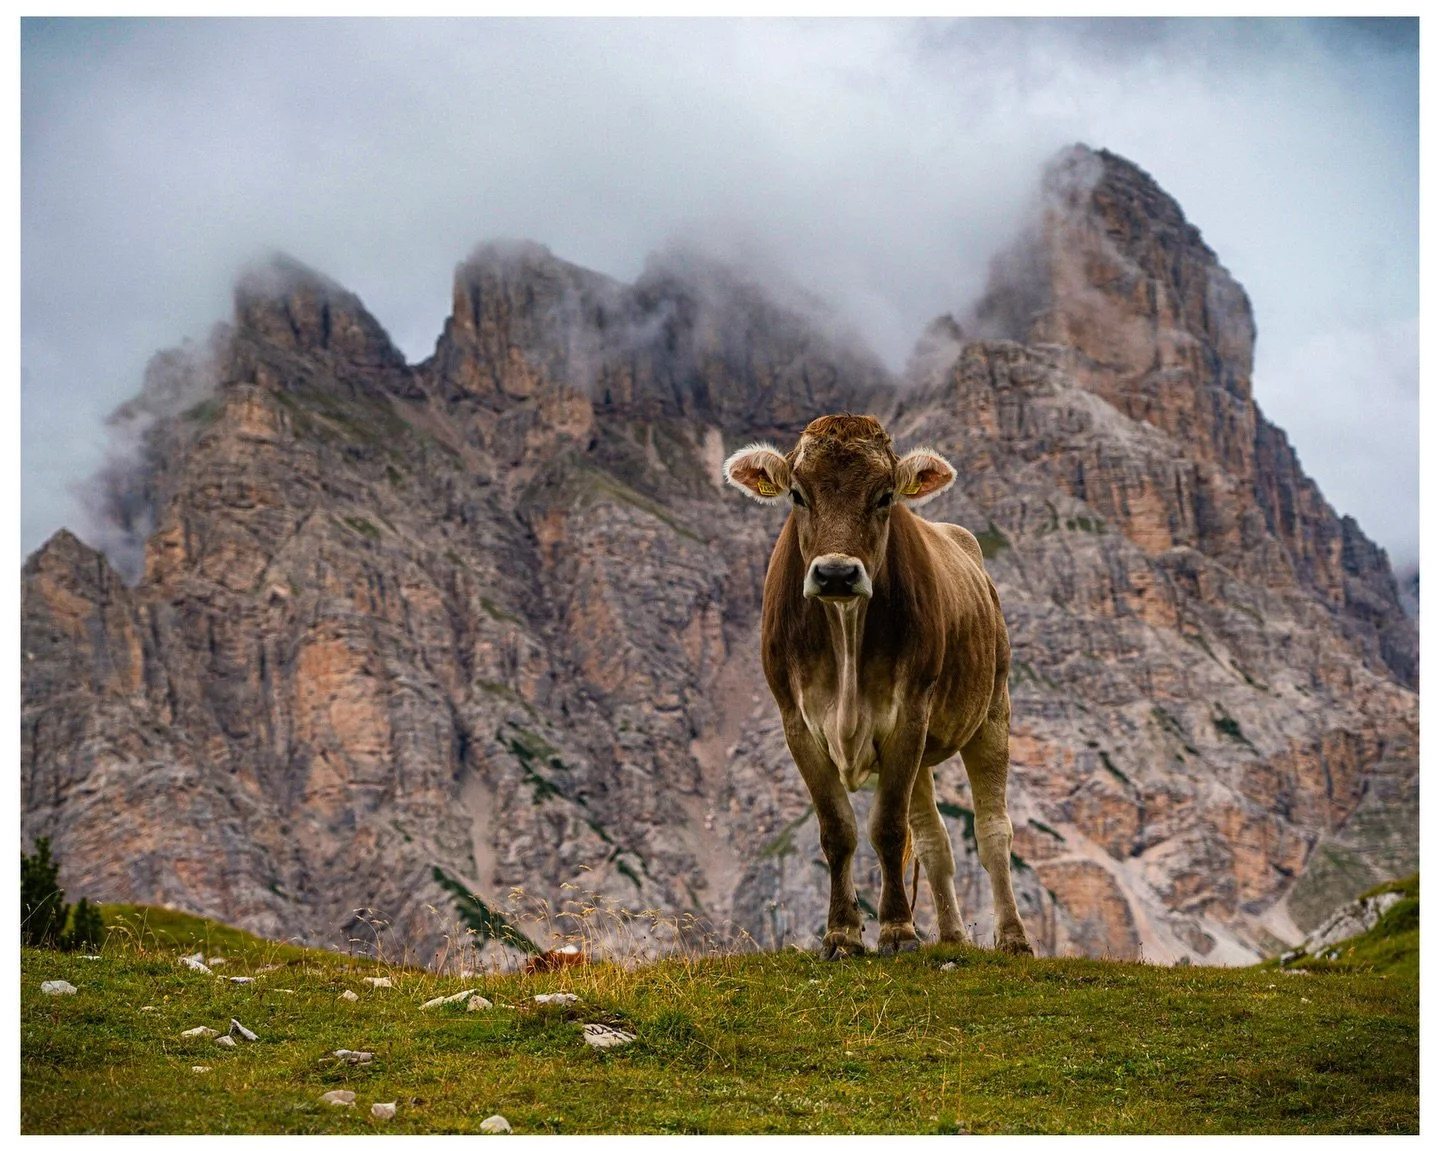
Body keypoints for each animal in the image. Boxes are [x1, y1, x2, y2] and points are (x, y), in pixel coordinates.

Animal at [724, 413, 1032, 958]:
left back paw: (1013, 938)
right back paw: (951, 937)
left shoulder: (908, 713)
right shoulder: (796, 722)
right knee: (933, 840)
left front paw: (897, 930)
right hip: (925, 752)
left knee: (993, 830)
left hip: (993, 708)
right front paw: (842, 934)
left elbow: (887, 828)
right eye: (797, 494)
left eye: (885, 495)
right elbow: (838, 831)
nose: (836, 573)